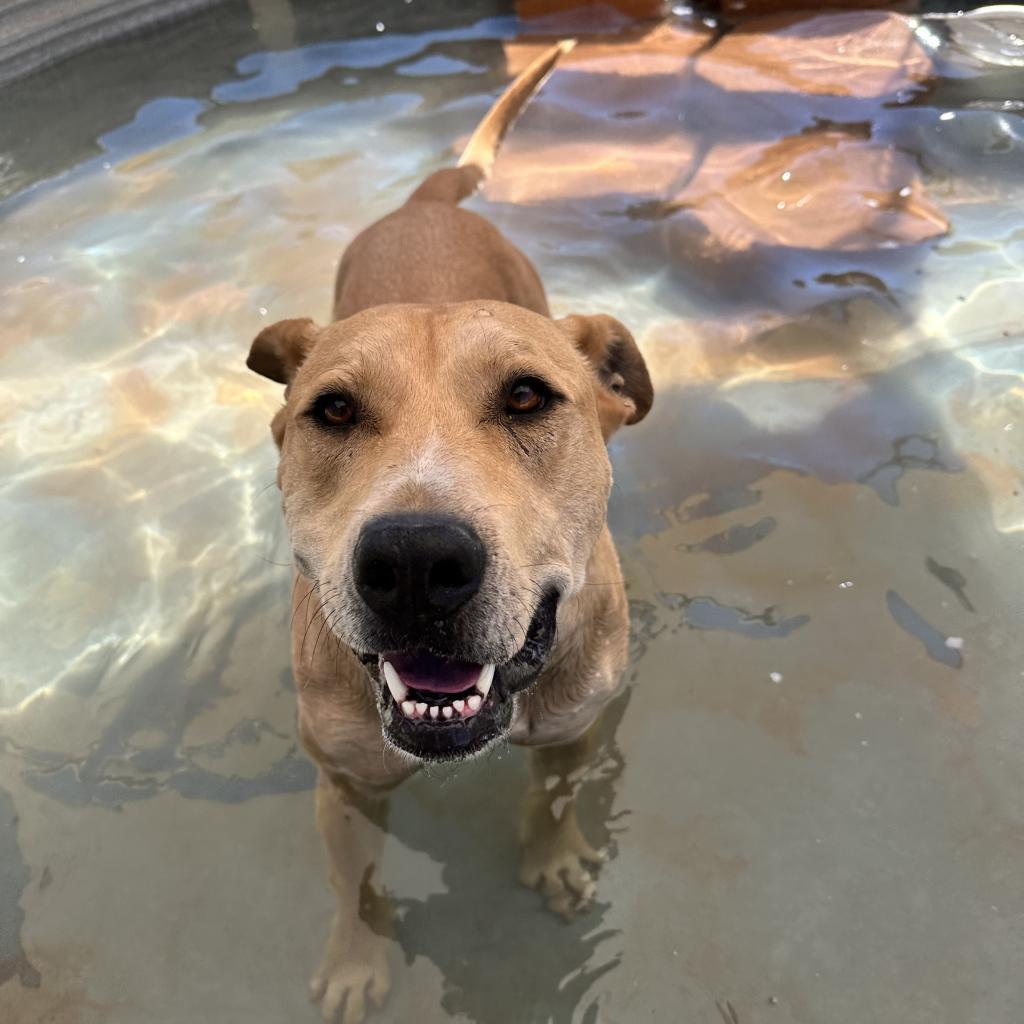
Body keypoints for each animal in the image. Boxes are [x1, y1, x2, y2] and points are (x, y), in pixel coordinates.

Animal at [243, 44, 651, 1019]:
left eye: (529, 397)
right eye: (333, 410)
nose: (416, 561)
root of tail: (428, 205)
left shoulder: (574, 730)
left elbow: (553, 799)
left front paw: (552, 859)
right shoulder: (345, 782)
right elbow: (353, 880)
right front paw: (359, 959)